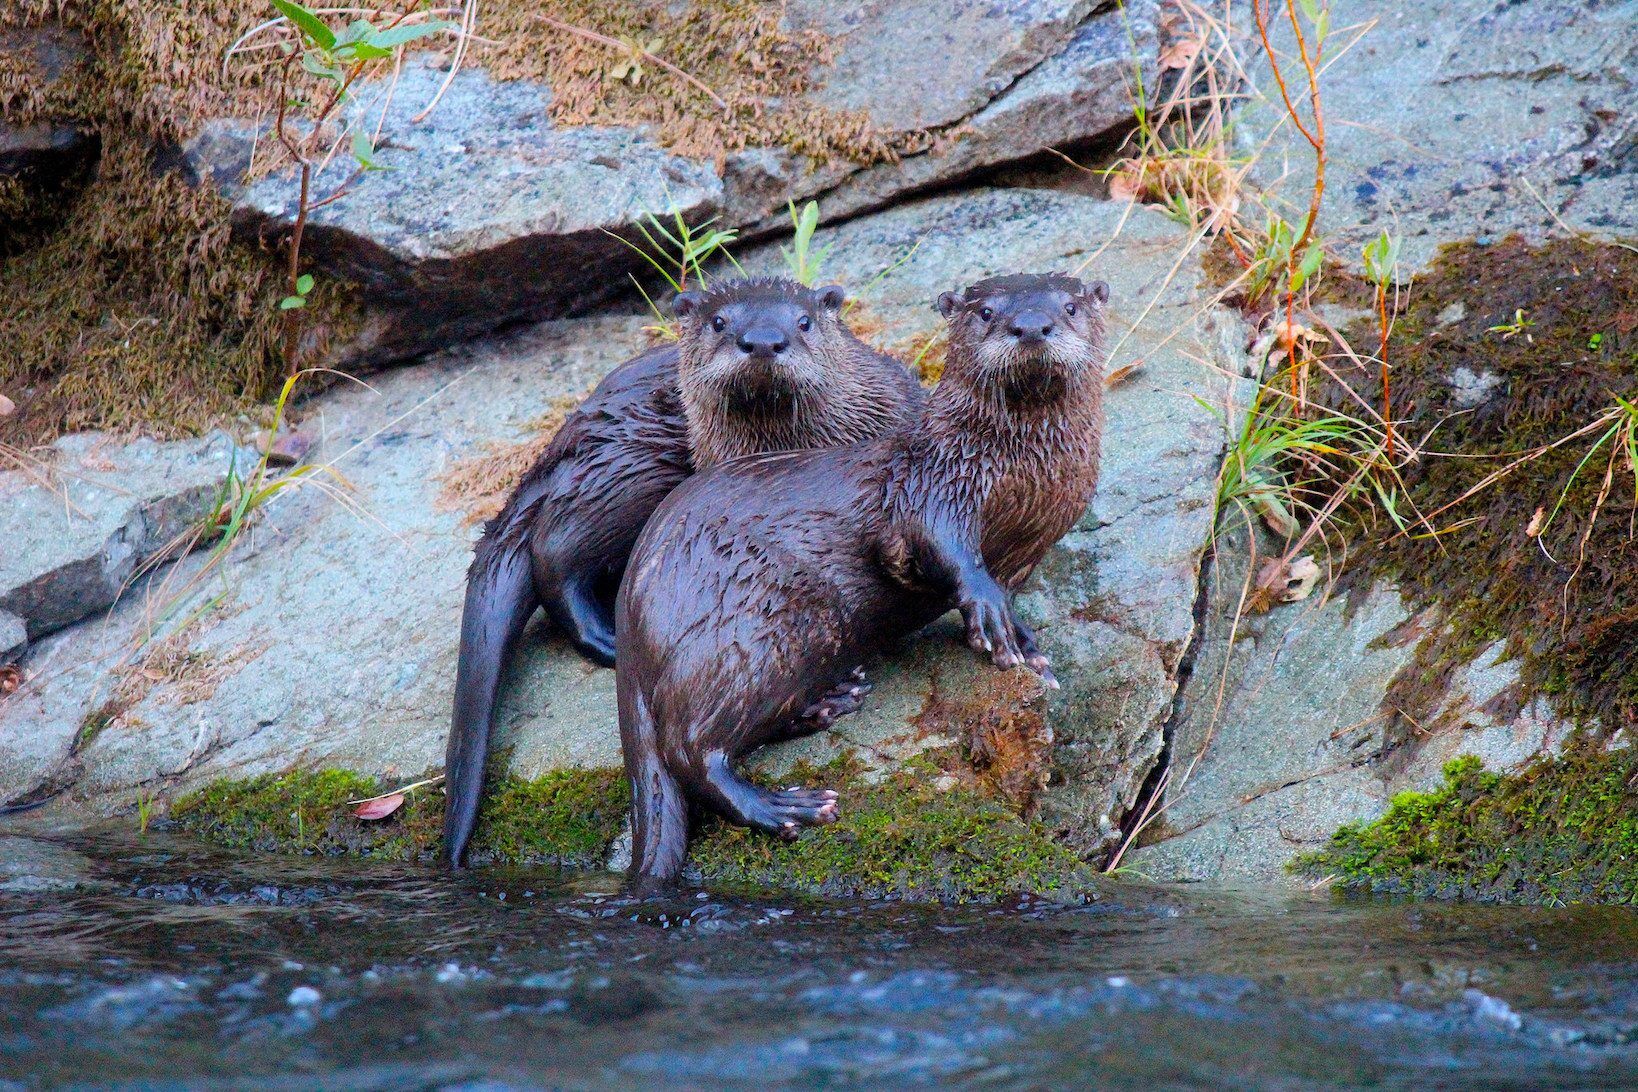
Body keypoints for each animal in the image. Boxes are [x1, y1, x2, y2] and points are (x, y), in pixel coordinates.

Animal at [442, 278, 930, 864]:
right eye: (720, 322)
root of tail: (570, 428)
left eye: (804, 321)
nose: (762, 341)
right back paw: (606, 637)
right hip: (631, 462)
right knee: (553, 548)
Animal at [615, 273, 1113, 890]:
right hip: (764, 622)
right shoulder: (932, 484)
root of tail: (631, 613)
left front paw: (1026, 646)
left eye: (1069, 307)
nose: (1032, 327)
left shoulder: (1032, 540)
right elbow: (940, 548)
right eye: (987, 312)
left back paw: (829, 701)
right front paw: (988, 610)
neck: (1019, 480)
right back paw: (783, 807)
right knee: (688, 747)